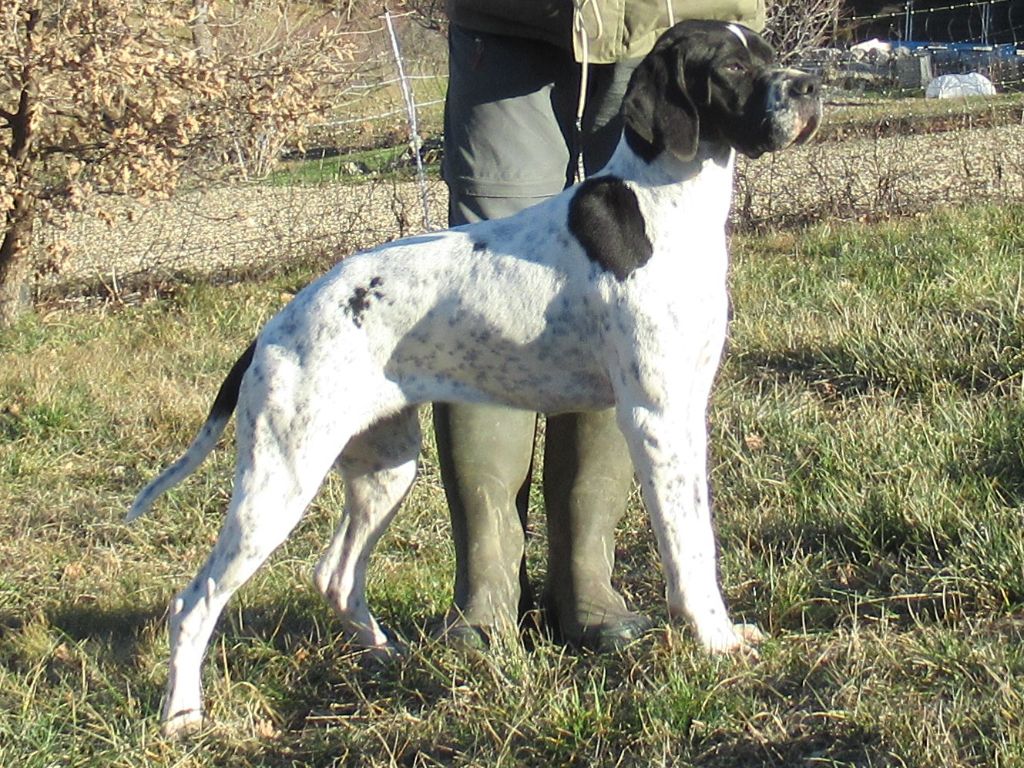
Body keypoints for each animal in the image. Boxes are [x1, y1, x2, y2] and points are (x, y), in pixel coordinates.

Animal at [132, 20, 823, 737]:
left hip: (385, 468)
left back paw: (385, 656)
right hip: (281, 478)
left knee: (335, 576)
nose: (809, 88)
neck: (665, 208)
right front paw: (714, 638)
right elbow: (688, 545)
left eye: (770, 56)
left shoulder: (686, 410)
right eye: (731, 67)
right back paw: (182, 714)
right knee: (194, 601)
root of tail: (274, 327)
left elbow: (697, 532)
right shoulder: (655, 417)